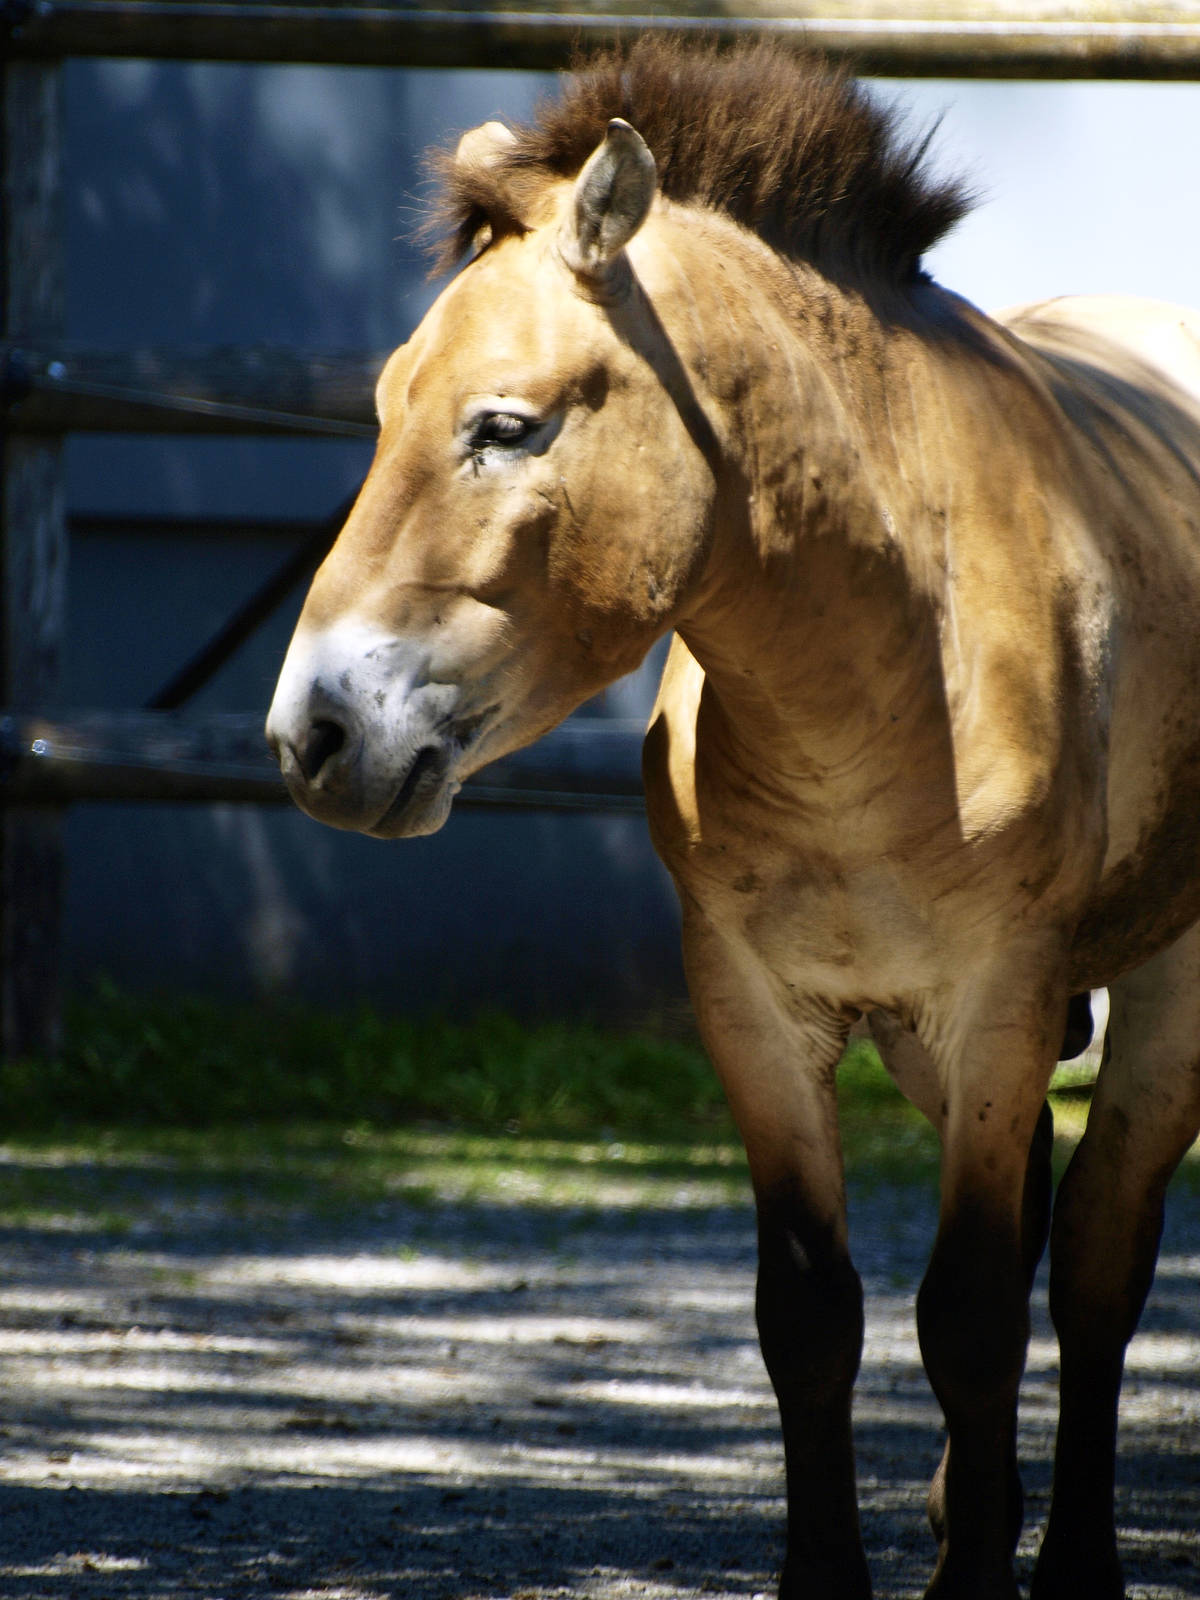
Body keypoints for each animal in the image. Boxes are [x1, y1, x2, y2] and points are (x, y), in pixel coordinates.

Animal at [266, 40, 1200, 1600]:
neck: (890, 666)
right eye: (388, 408)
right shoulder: (756, 1010)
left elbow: (973, 1317)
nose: (315, 735)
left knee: (1095, 1260)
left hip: (1159, 994)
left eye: (505, 426)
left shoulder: (999, 995)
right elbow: (812, 1314)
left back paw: (1070, 1560)